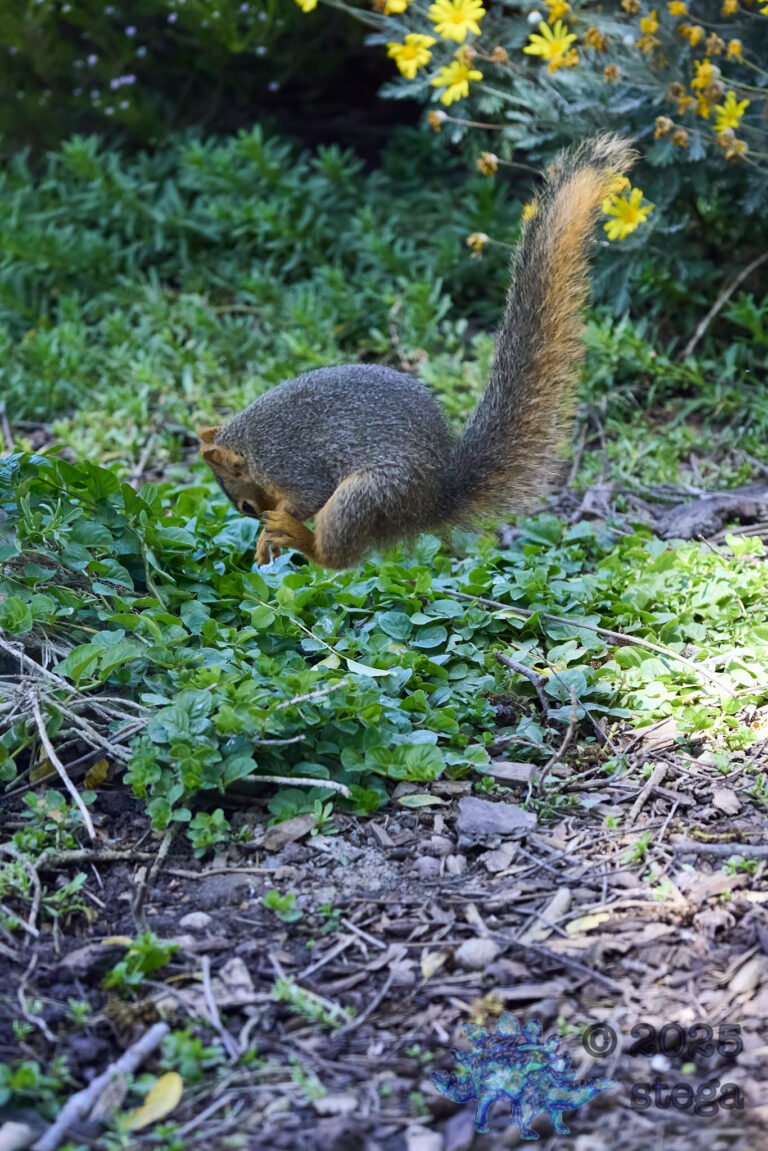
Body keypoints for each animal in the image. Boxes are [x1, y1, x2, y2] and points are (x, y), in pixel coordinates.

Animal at [198, 134, 635, 569]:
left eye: (246, 507)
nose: (257, 516)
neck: (252, 444)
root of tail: (427, 506)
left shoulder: (292, 465)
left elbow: (308, 495)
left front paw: (271, 531)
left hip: (367, 495)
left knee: (337, 557)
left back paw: (300, 538)